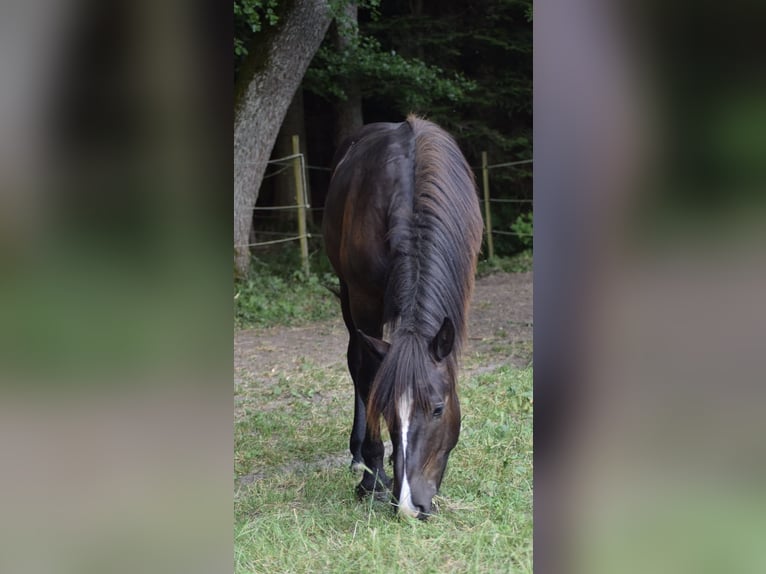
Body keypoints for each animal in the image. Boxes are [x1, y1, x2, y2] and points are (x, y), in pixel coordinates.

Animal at [326, 117, 486, 520]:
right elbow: (368, 376)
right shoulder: (364, 299)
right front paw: (372, 479)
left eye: (439, 409)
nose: (411, 505)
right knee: (355, 362)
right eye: (386, 410)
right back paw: (360, 458)